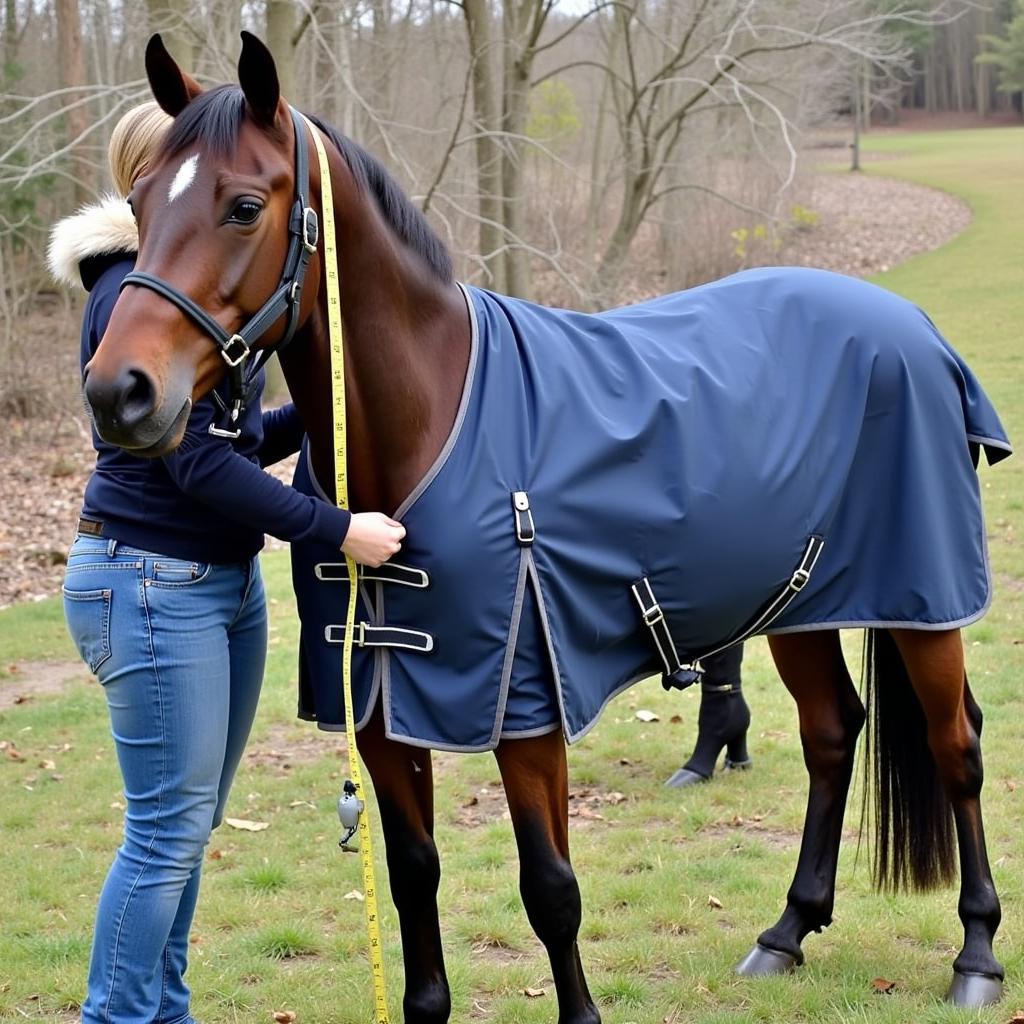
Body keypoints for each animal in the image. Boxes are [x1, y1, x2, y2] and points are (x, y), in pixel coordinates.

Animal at [79, 29, 1007, 1015]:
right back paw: (786, 932)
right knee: (832, 735)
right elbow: (413, 875)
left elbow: (551, 888)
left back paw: (976, 956)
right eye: (139, 201)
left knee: (957, 748)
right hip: (798, 602)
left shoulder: (525, 705)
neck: (430, 423)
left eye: (245, 206)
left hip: (922, 606)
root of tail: (915, 329)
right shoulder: (381, 711)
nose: (118, 392)